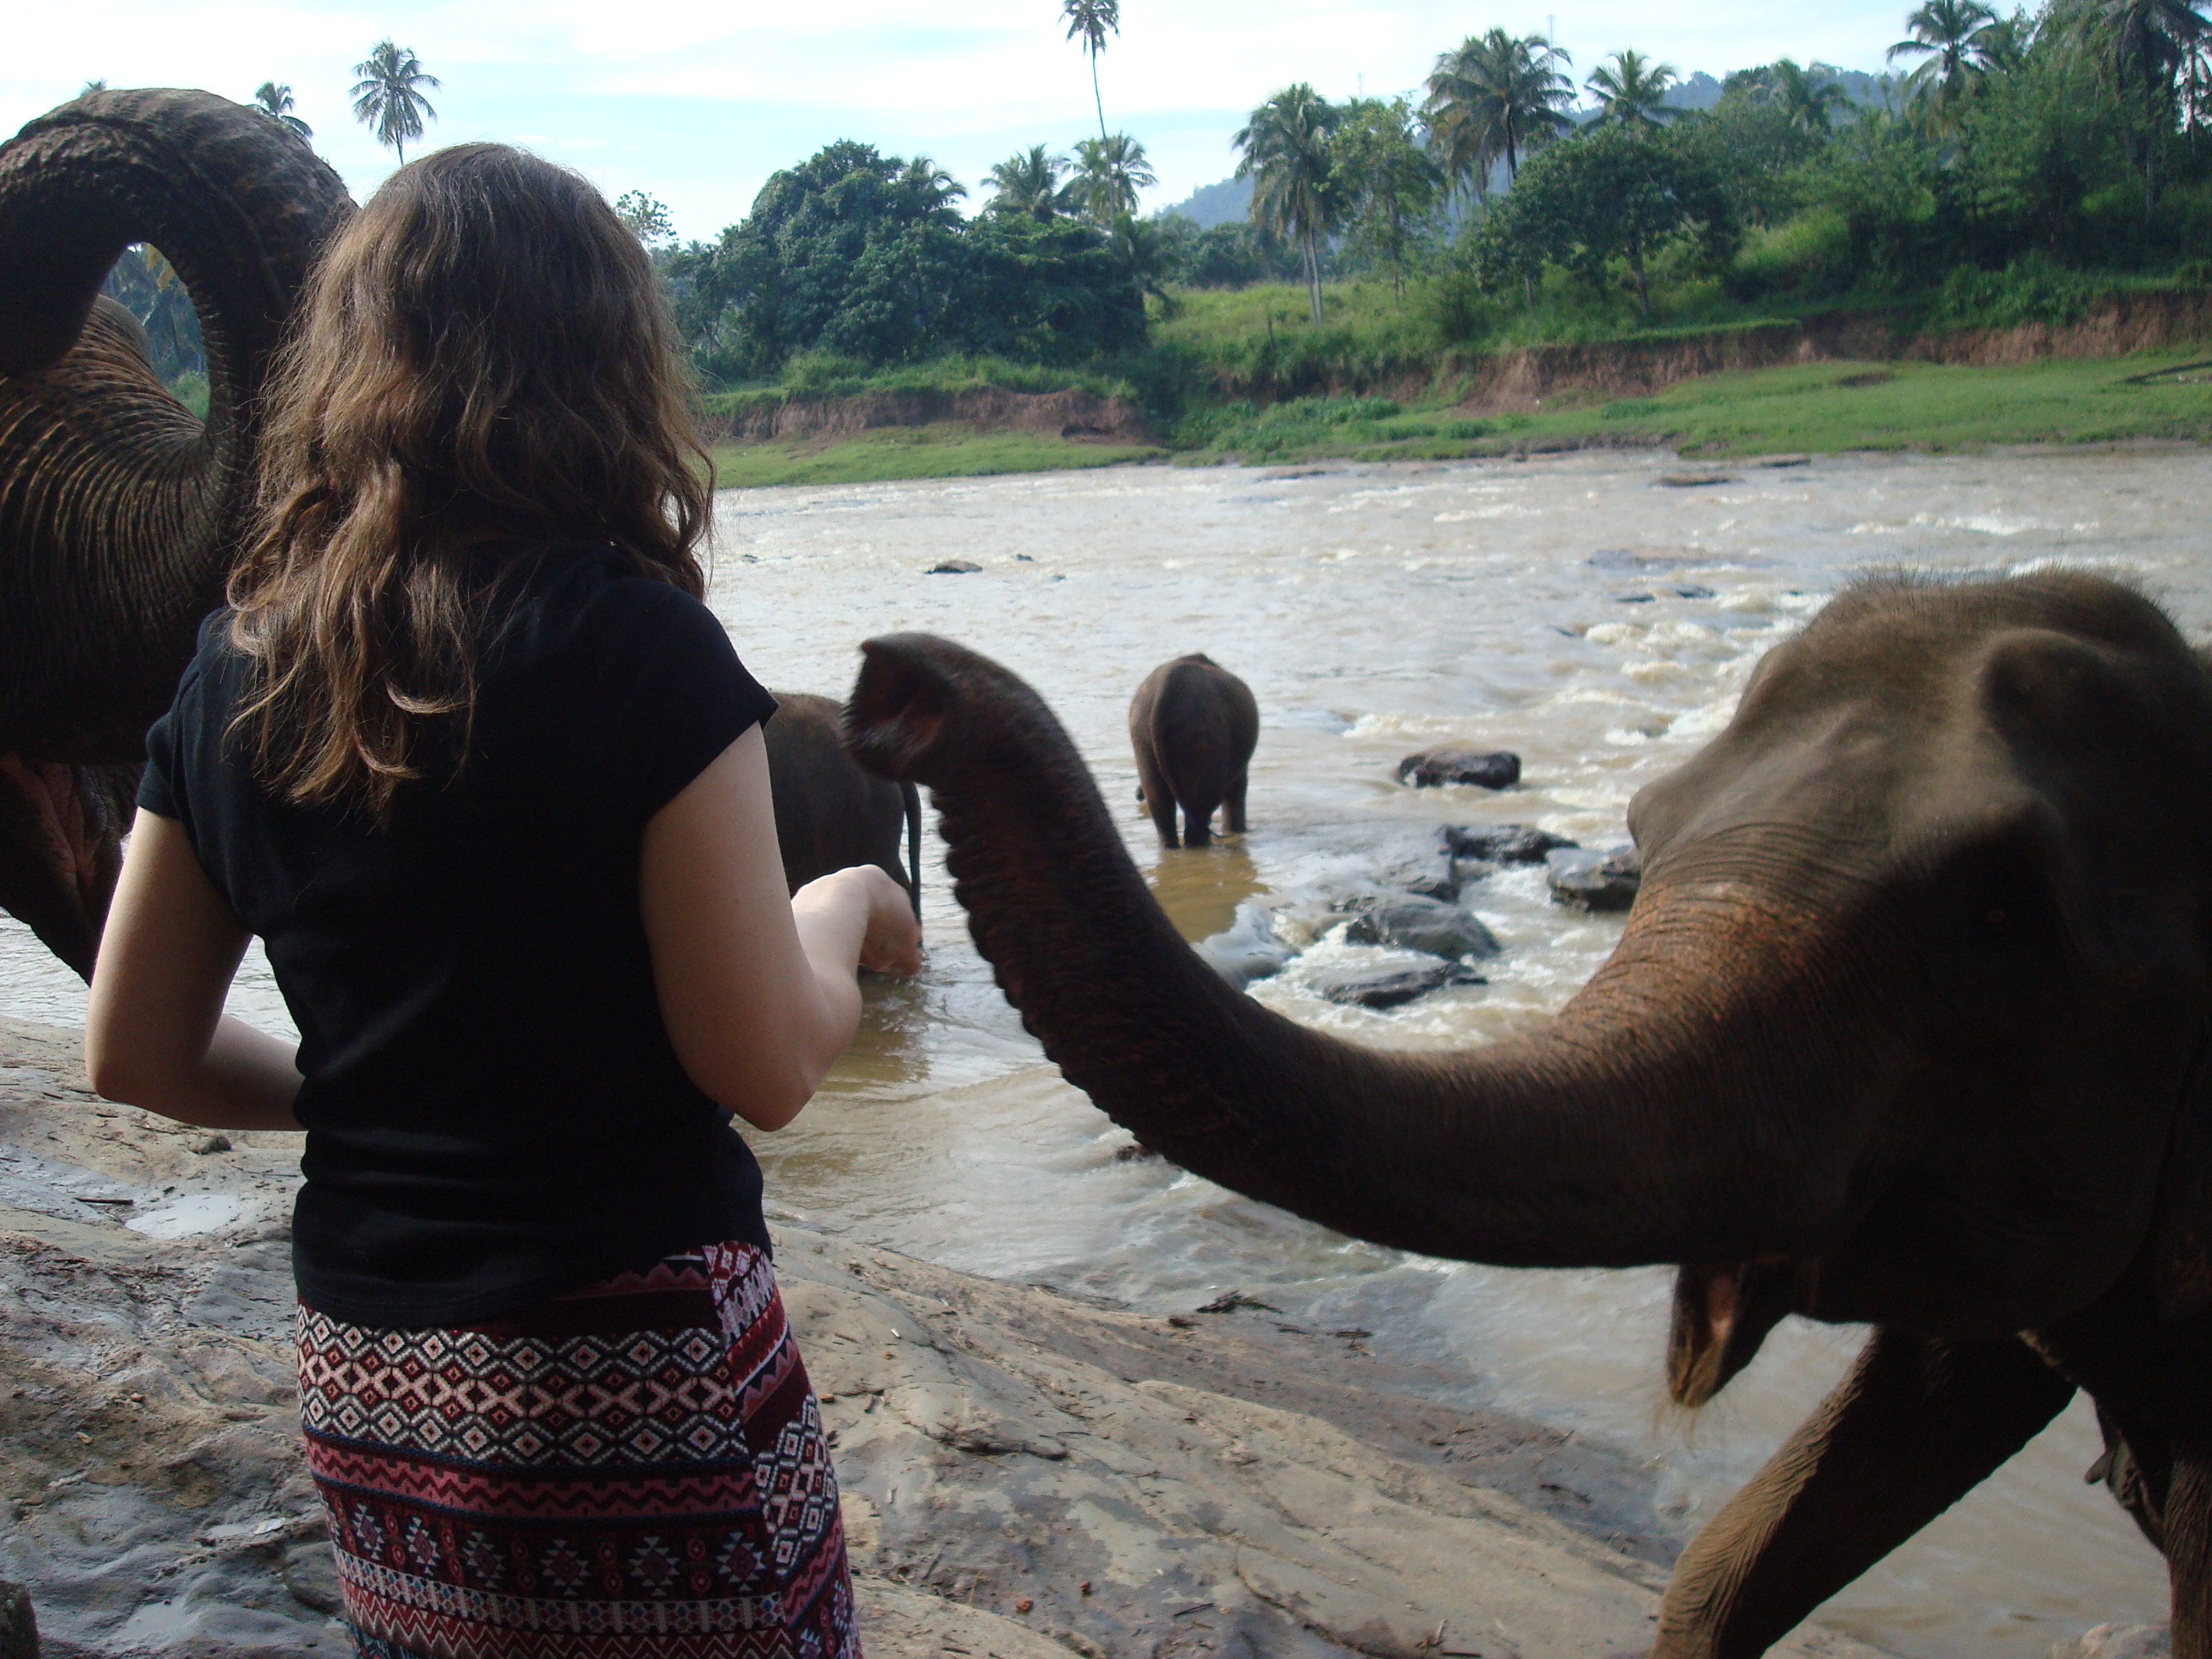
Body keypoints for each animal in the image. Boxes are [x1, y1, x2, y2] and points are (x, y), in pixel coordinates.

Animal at [1132, 655, 1256, 849]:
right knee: (1201, 809)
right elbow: (1237, 790)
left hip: (1142, 736)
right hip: (1203, 736)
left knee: (1162, 807)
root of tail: (1164, 690)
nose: (1137, 794)